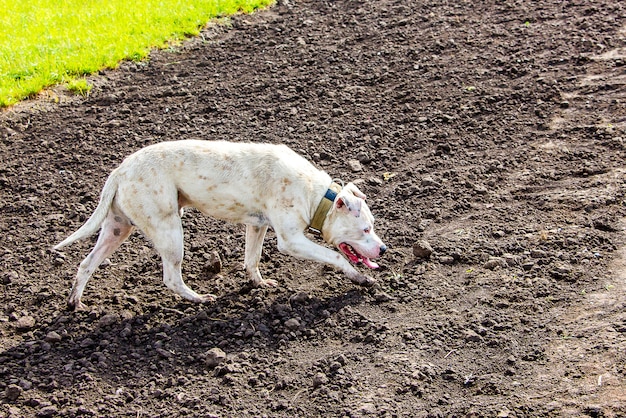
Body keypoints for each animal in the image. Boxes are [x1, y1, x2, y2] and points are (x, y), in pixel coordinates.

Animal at [53, 140, 386, 310]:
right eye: (366, 229)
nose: (383, 249)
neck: (318, 197)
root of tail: (119, 171)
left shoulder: (258, 226)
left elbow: (251, 259)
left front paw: (258, 283)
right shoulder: (291, 240)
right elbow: (335, 256)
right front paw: (360, 278)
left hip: (117, 228)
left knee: (86, 264)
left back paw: (75, 303)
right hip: (169, 231)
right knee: (171, 277)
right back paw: (198, 298)